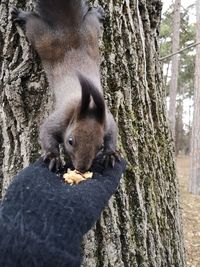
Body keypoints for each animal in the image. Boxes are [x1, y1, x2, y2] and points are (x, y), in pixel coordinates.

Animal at [10, 0, 118, 174]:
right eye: (70, 141)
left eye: (99, 146)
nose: (81, 168)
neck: (88, 106)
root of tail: (69, 29)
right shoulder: (61, 117)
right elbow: (46, 132)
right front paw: (53, 157)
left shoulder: (106, 120)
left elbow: (113, 133)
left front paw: (110, 154)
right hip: (42, 37)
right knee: (32, 23)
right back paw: (21, 15)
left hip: (90, 30)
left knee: (92, 19)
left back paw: (98, 13)